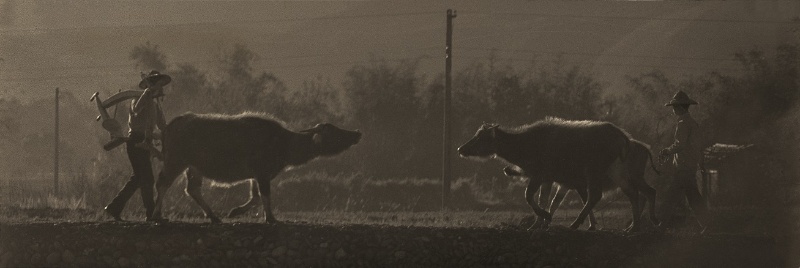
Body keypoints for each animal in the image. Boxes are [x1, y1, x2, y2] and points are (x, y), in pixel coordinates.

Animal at [151, 112, 362, 223]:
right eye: (334, 132)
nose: (357, 133)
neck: (284, 143)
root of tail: (169, 126)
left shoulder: (256, 176)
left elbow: (255, 198)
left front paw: (235, 211)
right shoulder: (262, 174)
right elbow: (264, 196)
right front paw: (271, 218)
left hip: (194, 168)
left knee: (192, 189)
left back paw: (213, 216)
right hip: (176, 162)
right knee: (162, 183)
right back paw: (156, 214)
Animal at [460, 118, 640, 231]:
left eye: (480, 137)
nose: (460, 148)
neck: (525, 145)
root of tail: (621, 135)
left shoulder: (539, 175)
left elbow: (529, 196)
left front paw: (544, 217)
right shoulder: (547, 179)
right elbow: (544, 199)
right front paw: (536, 225)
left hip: (593, 171)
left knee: (596, 195)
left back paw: (576, 224)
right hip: (612, 173)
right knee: (631, 193)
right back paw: (632, 226)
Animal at [504, 138, 660, 230]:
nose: (507, 169)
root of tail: (646, 148)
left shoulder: (577, 185)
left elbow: (585, 201)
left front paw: (592, 226)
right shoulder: (565, 186)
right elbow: (555, 202)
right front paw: (545, 222)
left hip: (633, 177)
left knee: (646, 192)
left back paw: (643, 223)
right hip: (636, 178)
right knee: (644, 193)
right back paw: (639, 224)